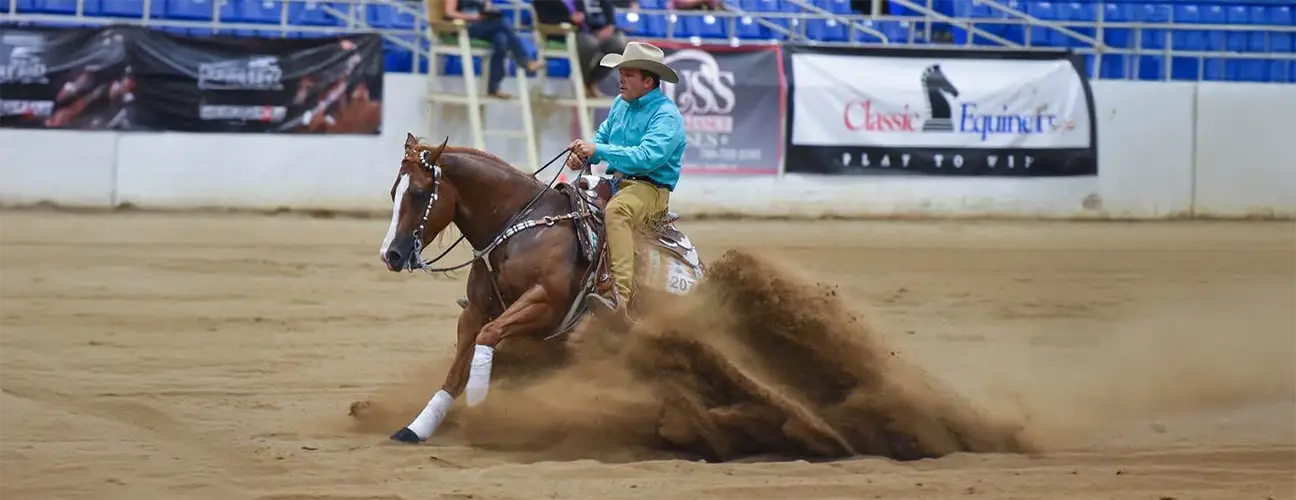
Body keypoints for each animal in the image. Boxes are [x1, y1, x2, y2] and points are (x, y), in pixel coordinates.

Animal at [376, 133, 706, 443]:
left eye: (418, 193)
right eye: (394, 192)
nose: (390, 255)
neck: (519, 226)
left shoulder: (544, 305)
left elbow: (489, 334)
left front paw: (478, 402)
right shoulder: (475, 310)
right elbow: (456, 373)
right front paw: (416, 428)